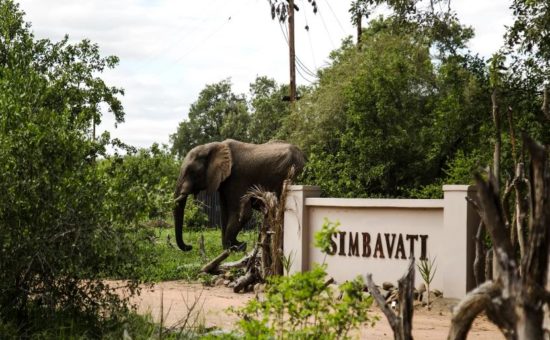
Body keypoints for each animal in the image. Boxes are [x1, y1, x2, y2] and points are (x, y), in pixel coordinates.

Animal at [175, 139, 306, 252]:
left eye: (191, 171)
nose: (189, 246)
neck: (214, 146)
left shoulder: (237, 177)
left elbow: (242, 214)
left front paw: (237, 247)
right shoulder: (225, 181)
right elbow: (225, 213)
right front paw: (228, 249)